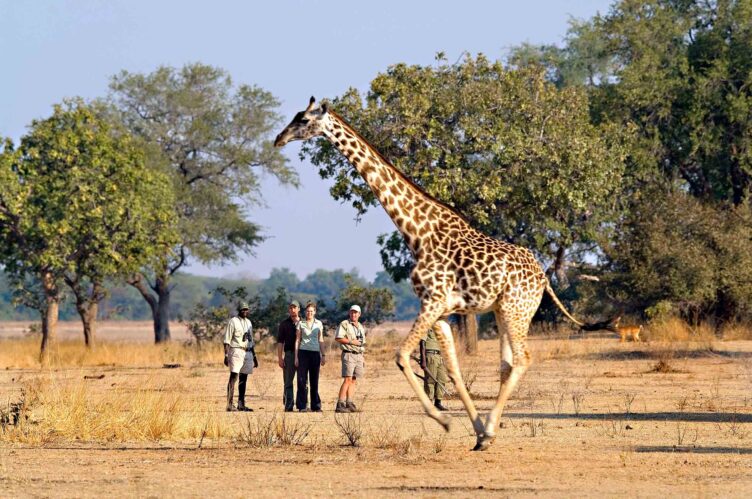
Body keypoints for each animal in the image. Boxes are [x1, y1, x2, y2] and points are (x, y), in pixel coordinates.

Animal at [274, 95, 596, 452]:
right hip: (502, 310)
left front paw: (445, 421)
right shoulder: (441, 310)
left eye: (303, 120)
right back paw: (489, 431)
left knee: (523, 358)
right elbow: (452, 369)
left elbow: (402, 356)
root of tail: (543, 277)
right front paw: (475, 430)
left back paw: (491, 429)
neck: (417, 232)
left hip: (517, 309)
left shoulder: (432, 301)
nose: (279, 139)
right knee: (507, 363)